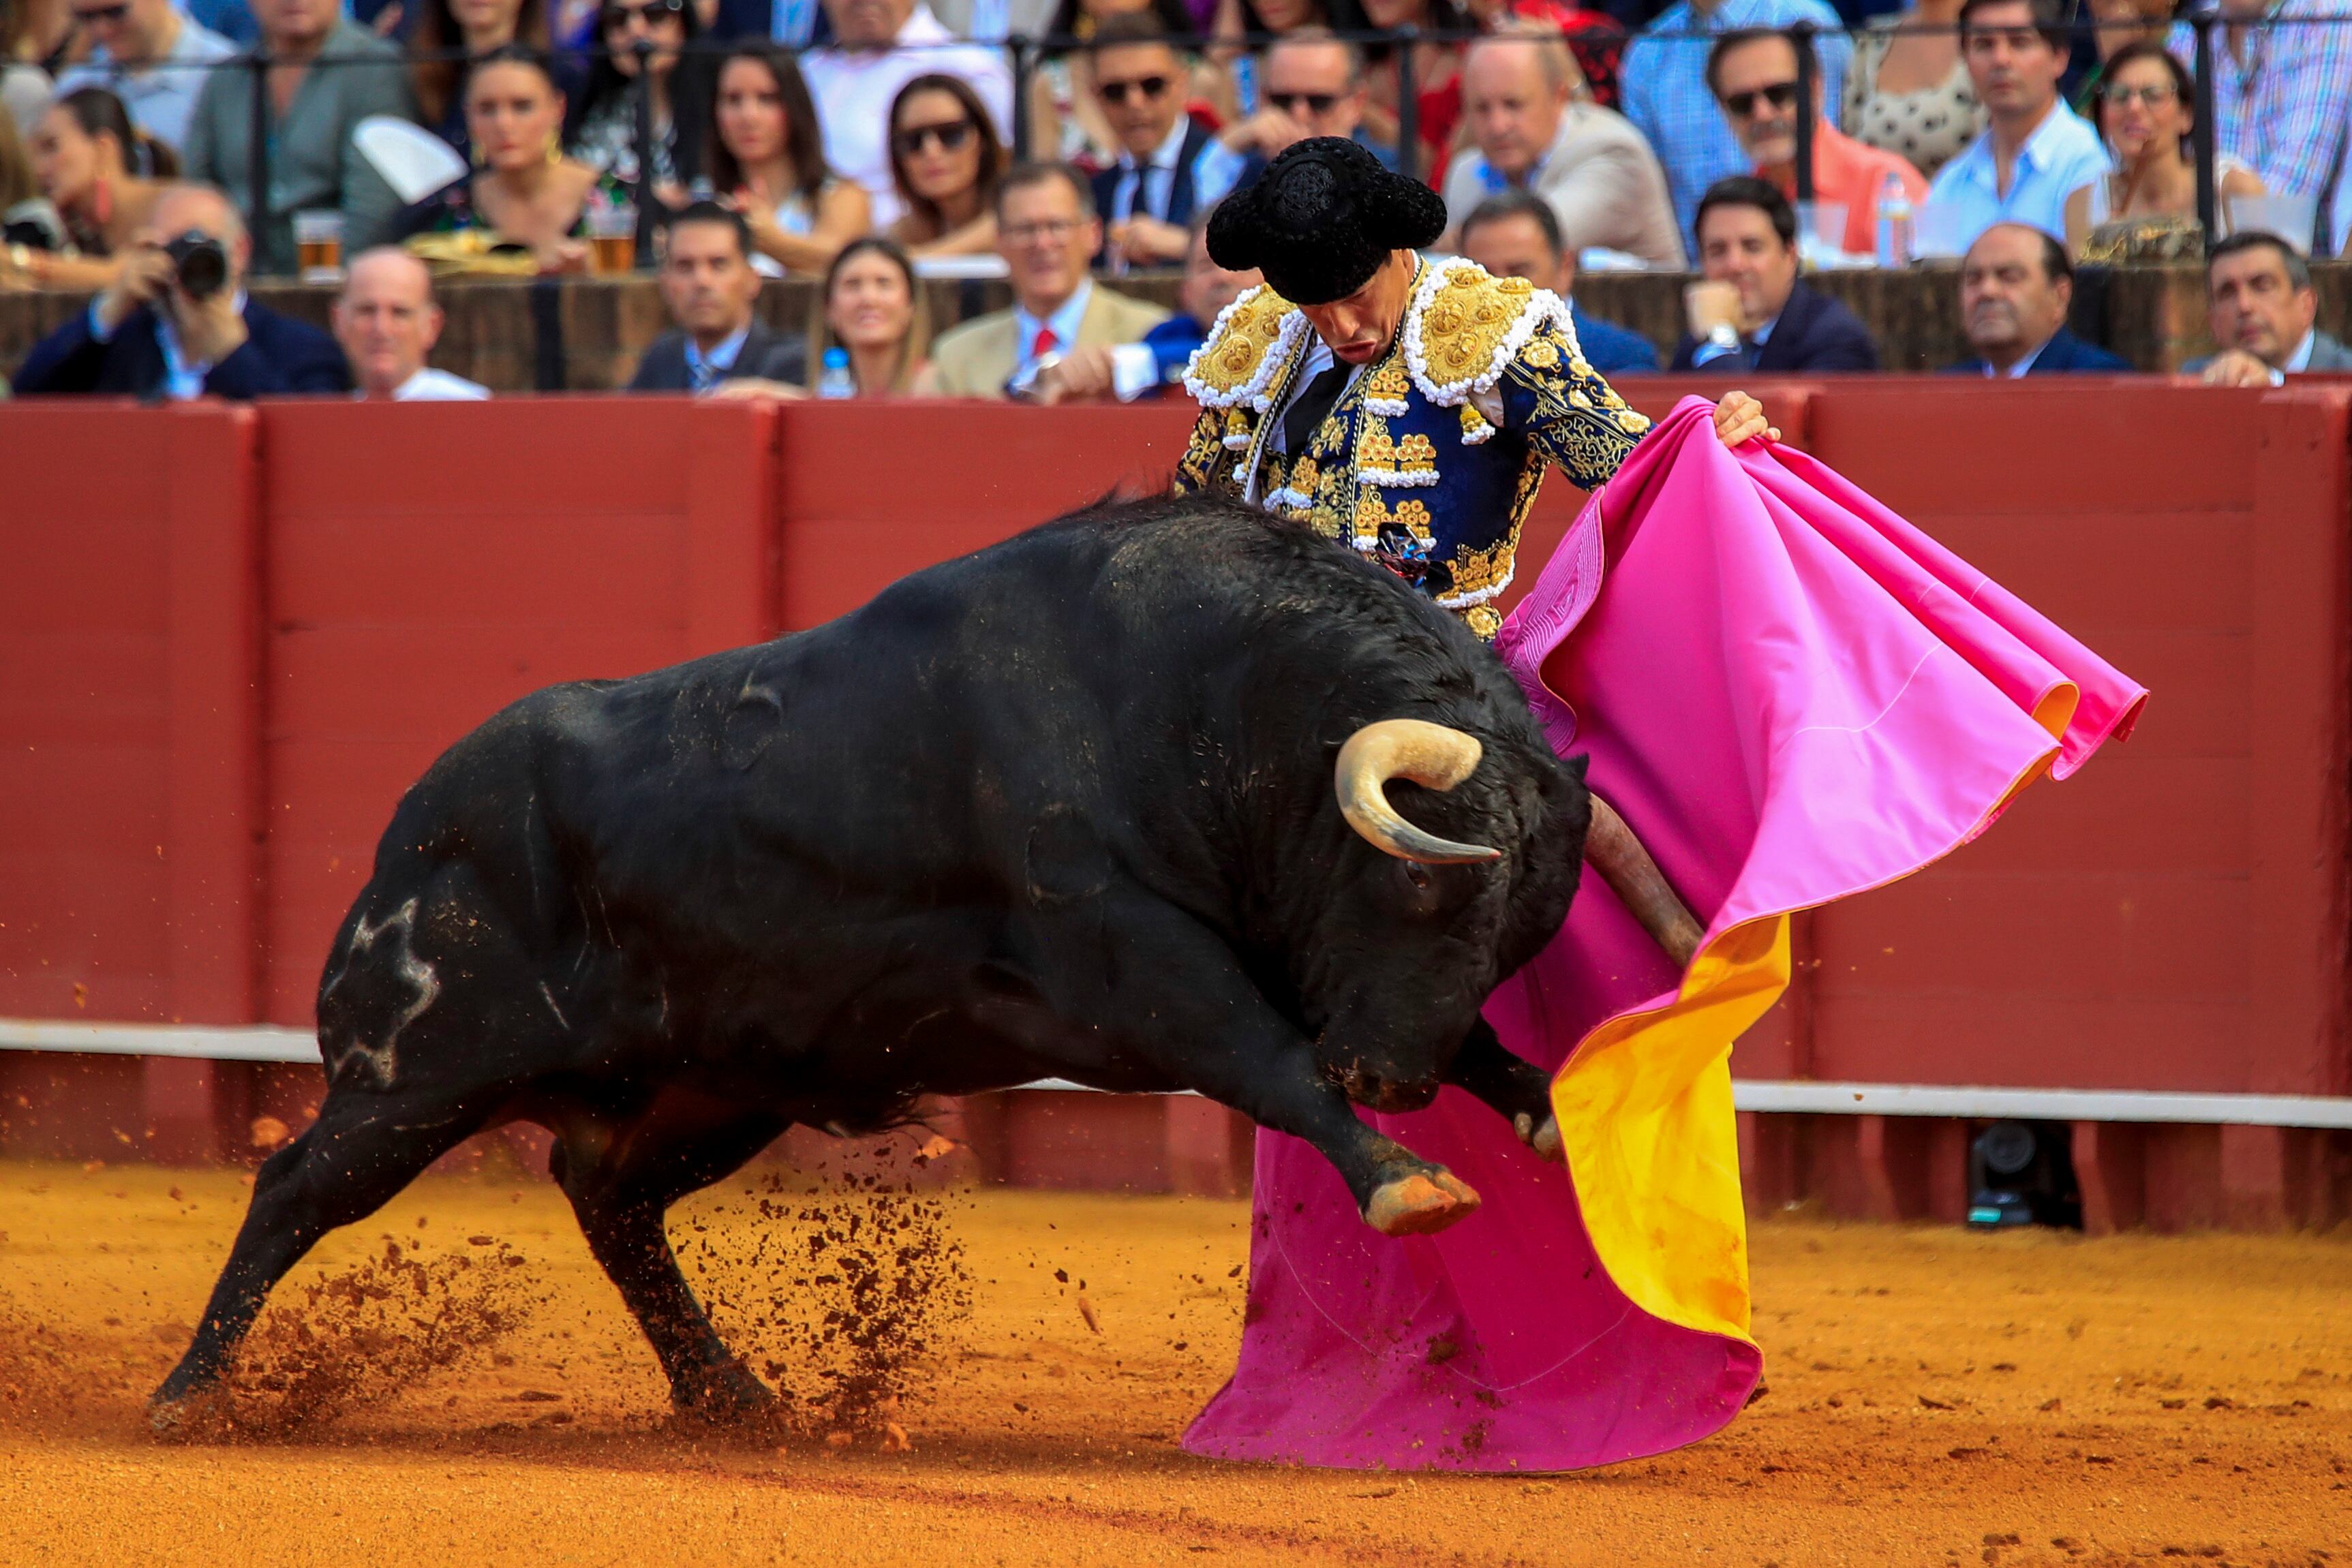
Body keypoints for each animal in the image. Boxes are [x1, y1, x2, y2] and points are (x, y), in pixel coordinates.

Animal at [156, 495, 1608, 1429]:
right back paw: (189, 1397)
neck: (1212, 701)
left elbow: (1475, 1053)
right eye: (1411, 880)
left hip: (710, 1087)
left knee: (608, 1200)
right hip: (417, 1075)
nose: (1392, 1079)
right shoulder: (1136, 961)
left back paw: (729, 1397)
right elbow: (1270, 1061)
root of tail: (415, 830)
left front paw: (1547, 1118)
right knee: (296, 1186)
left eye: (1518, 931)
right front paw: (1409, 1183)